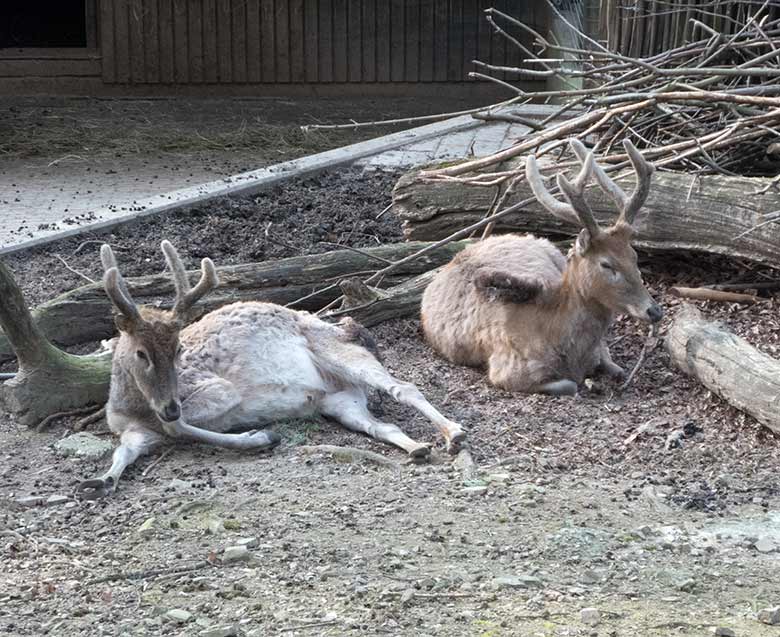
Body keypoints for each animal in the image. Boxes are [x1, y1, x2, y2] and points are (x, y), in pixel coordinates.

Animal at [78, 240, 466, 496]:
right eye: (141, 353)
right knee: (378, 425)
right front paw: (100, 480)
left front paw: (260, 436)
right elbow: (126, 449)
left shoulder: (217, 391)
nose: (170, 406)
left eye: (178, 349)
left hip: (341, 353)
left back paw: (455, 434)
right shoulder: (132, 429)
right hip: (341, 403)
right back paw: (417, 448)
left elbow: (182, 429)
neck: (131, 406)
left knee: (403, 386)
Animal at [420, 139, 664, 396]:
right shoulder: (506, 371)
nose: (654, 311)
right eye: (606, 264)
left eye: (633, 255)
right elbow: (570, 385)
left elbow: (616, 368)